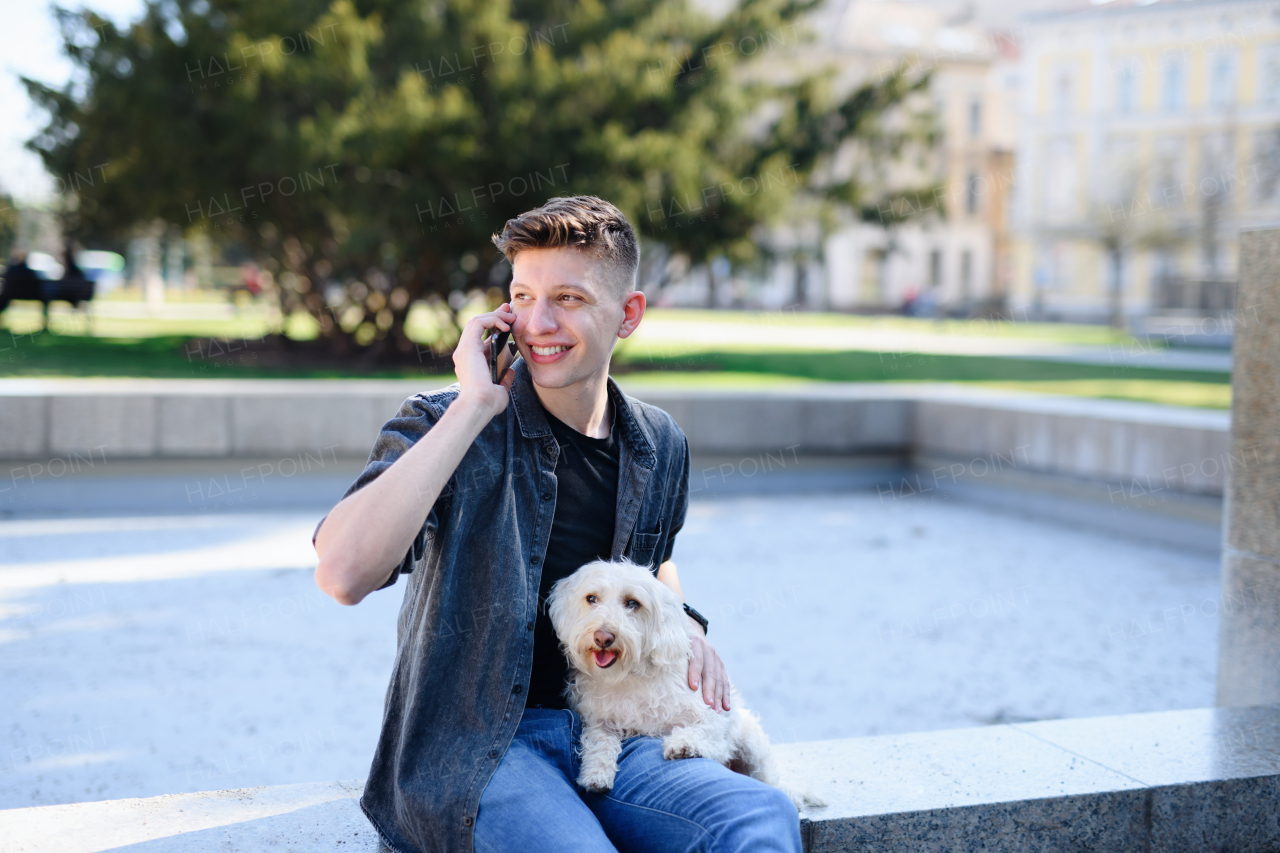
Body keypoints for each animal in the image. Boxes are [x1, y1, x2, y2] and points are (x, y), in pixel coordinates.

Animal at [547, 555, 824, 809]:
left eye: (632, 603)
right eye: (591, 598)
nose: (603, 636)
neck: (628, 676)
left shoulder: (713, 716)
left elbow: (705, 731)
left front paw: (683, 743)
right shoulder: (597, 722)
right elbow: (599, 743)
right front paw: (595, 773)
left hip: (752, 745)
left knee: (770, 779)